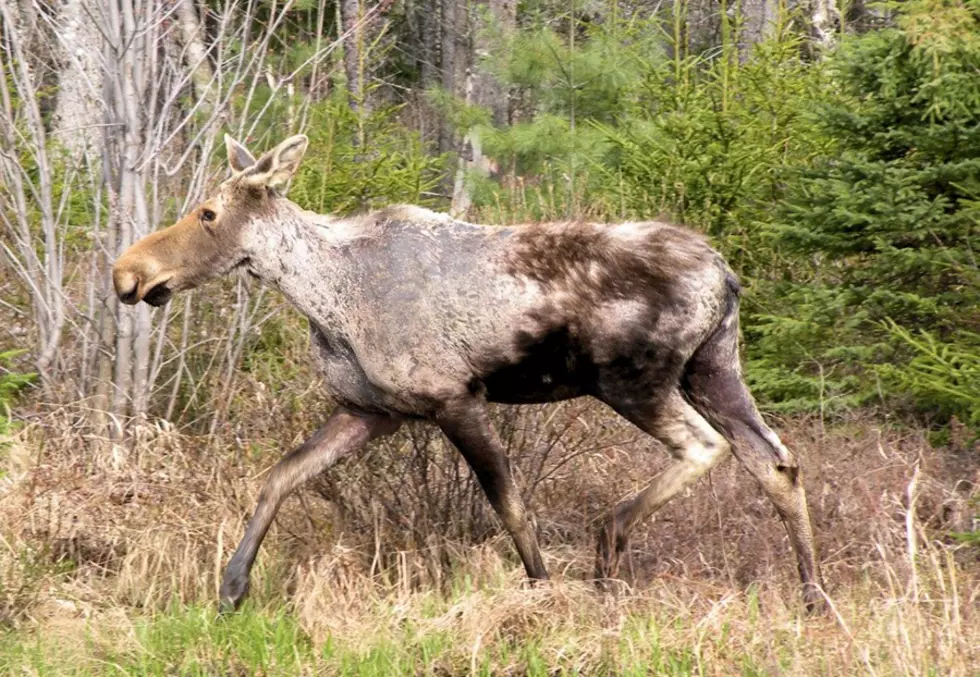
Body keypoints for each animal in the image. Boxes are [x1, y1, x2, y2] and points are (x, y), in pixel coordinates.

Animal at [111, 135, 824, 608]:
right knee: (777, 460)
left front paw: (542, 590)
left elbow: (509, 505)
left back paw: (608, 546)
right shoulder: (374, 410)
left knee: (706, 447)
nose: (128, 273)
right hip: (713, 367)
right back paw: (813, 593)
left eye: (207, 213)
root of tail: (727, 274)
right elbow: (281, 474)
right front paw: (232, 587)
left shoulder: (453, 397)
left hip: (634, 379)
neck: (326, 295)